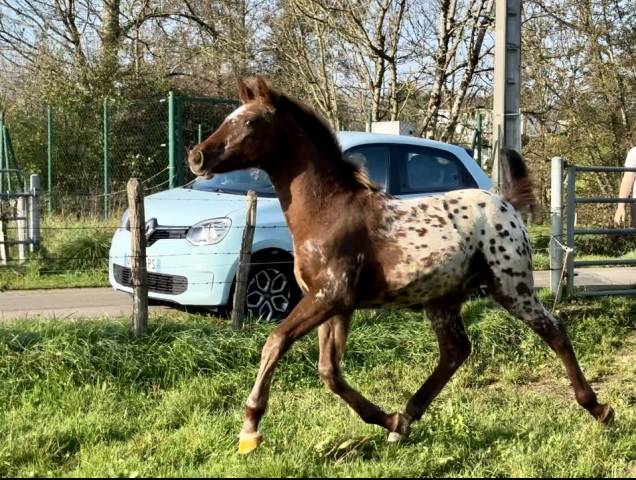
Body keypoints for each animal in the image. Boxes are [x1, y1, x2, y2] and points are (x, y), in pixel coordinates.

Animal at [186, 75, 612, 454]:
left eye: (250, 122)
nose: (197, 156)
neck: (329, 213)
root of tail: (505, 203)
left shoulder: (330, 297)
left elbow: (275, 342)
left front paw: (250, 428)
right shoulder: (335, 306)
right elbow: (330, 372)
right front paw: (386, 419)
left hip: (511, 287)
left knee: (554, 330)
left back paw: (599, 408)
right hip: (443, 299)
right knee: (455, 351)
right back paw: (403, 422)